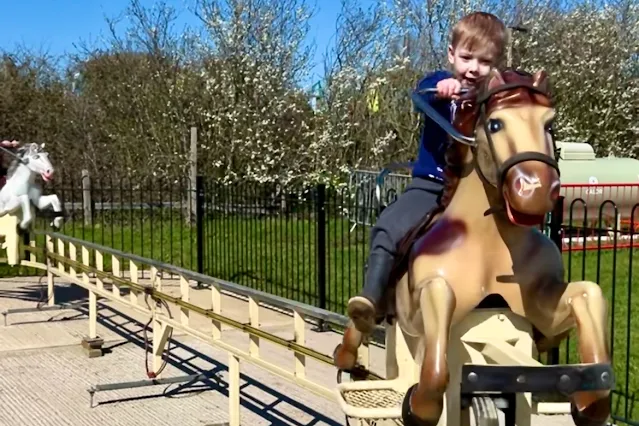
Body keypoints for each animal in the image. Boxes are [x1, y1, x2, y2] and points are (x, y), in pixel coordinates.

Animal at [332, 70, 612, 426]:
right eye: (494, 123)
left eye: (549, 123)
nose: (535, 190)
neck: (491, 244)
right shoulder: (420, 306)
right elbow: (440, 306)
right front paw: (418, 405)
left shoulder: (538, 310)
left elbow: (589, 292)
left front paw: (590, 401)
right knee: (365, 314)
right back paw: (348, 349)